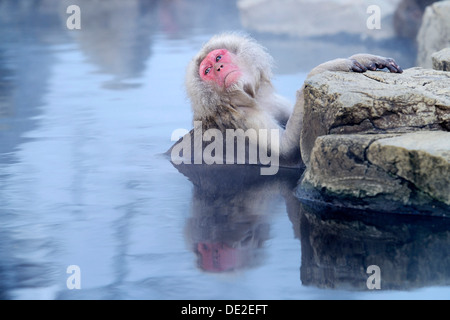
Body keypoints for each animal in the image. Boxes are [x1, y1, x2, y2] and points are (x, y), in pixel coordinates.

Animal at [168, 33, 400, 174]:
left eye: (217, 58)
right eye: (207, 71)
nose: (219, 68)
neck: (242, 98)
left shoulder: (269, 100)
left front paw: (363, 57)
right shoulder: (245, 120)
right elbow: (287, 152)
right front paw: (330, 66)